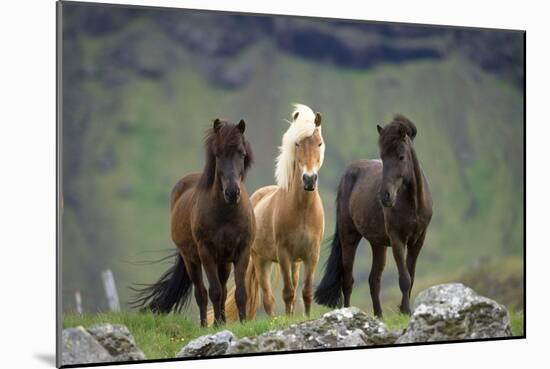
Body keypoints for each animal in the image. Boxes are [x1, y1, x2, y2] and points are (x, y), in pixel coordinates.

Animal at [132, 118, 256, 324]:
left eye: (242, 153)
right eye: (218, 154)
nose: (232, 193)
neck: (227, 214)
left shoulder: (242, 252)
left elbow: (239, 293)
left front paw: (242, 322)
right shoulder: (206, 253)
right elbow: (213, 292)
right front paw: (215, 325)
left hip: (224, 262)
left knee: (223, 289)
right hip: (192, 260)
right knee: (202, 293)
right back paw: (206, 324)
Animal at [216, 104, 326, 322]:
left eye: (319, 143)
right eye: (298, 144)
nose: (309, 179)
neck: (302, 210)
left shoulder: (311, 255)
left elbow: (306, 292)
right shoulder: (283, 255)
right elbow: (287, 293)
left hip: (295, 263)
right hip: (261, 261)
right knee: (268, 299)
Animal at [316, 114, 434, 316]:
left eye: (401, 157)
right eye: (383, 157)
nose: (385, 196)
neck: (413, 203)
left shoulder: (418, 240)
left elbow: (411, 276)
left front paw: (405, 310)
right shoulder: (397, 240)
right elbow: (404, 279)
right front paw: (405, 310)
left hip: (378, 244)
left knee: (374, 280)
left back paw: (379, 315)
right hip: (349, 237)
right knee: (348, 279)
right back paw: (348, 311)